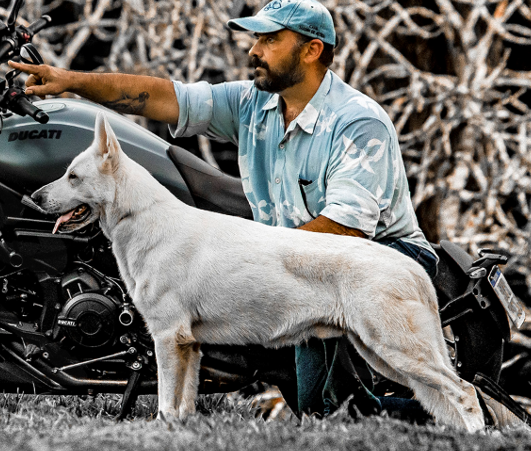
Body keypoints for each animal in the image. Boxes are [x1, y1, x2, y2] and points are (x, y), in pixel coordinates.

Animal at [29, 112, 486, 430]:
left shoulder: (167, 338)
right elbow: (181, 407)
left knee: (464, 391)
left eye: (72, 176)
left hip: (396, 350)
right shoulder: (189, 346)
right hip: (382, 353)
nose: (34, 197)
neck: (141, 217)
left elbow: (163, 403)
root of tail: (413, 269)